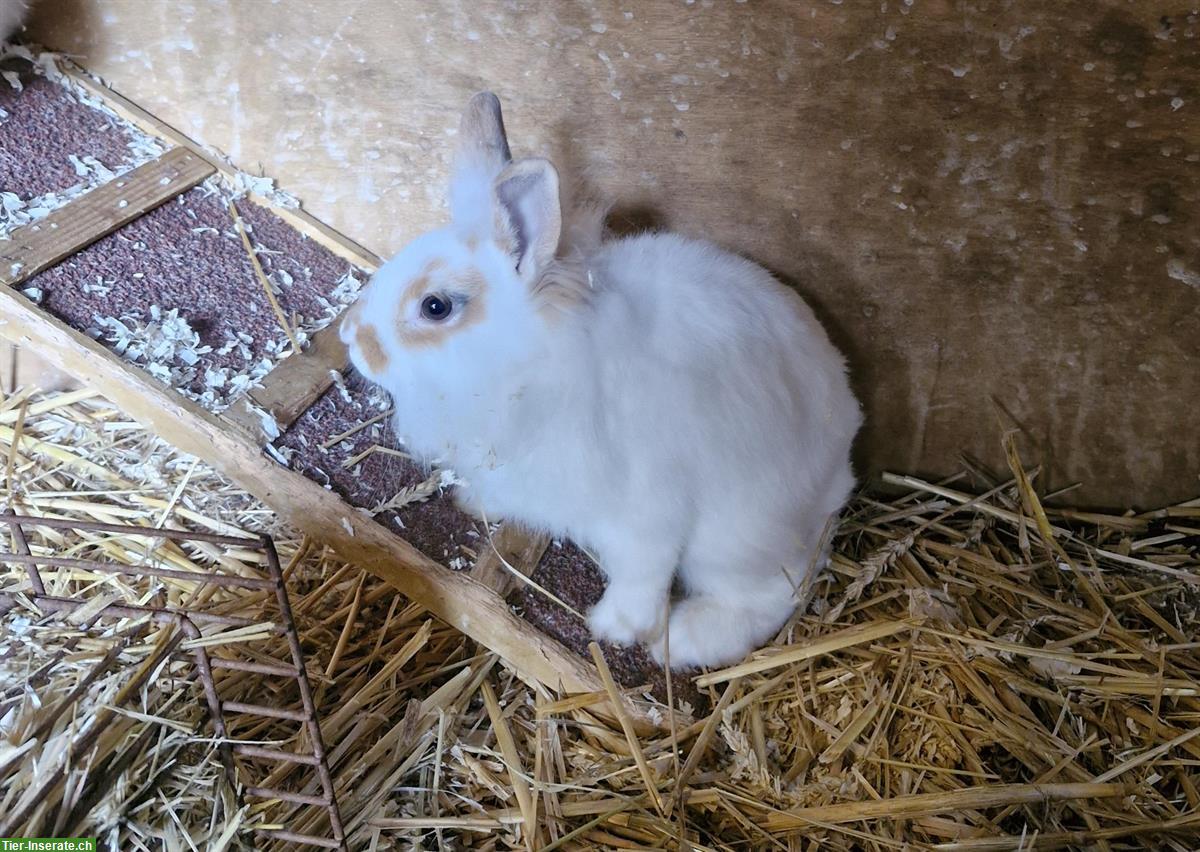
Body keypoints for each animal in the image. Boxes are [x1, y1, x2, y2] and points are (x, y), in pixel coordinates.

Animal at [340, 91, 864, 667]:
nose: (352, 338)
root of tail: (843, 455)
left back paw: (684, 640)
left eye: (435, 306)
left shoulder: (646, 513)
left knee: (774, 594)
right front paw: (474, 503)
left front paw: (615, 629)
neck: (525, 367)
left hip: (732, 539)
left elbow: (641, 576)